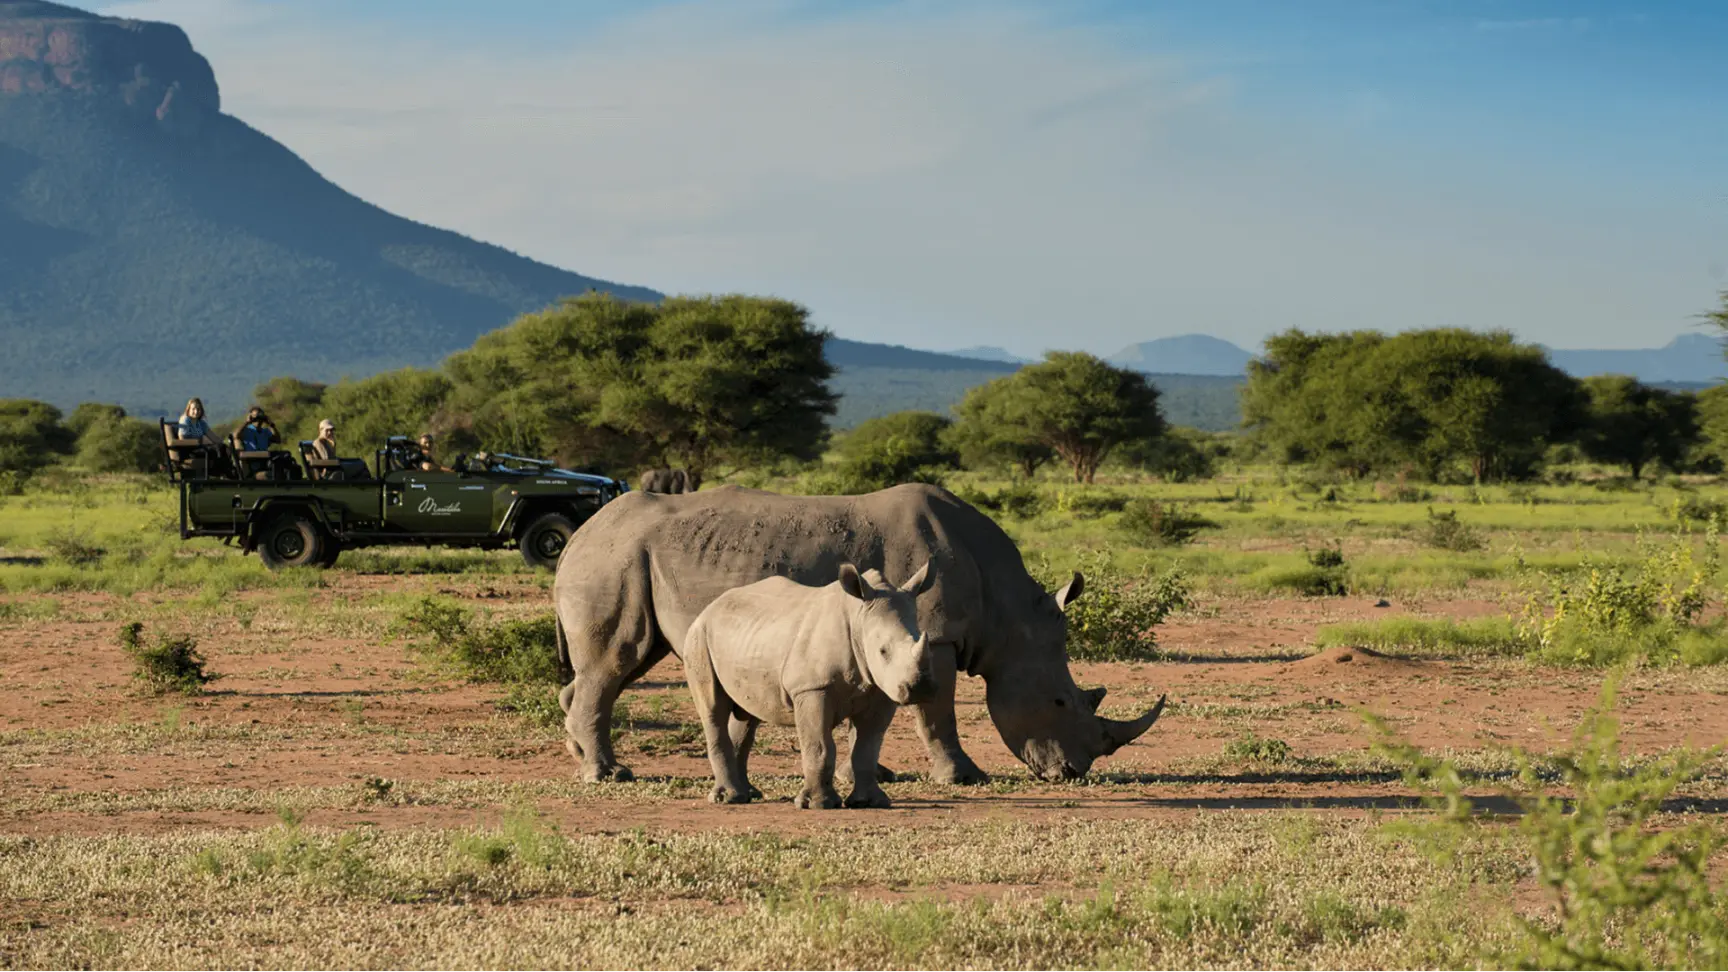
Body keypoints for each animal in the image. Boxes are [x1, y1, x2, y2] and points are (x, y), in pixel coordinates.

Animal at [553, 483, 1166, 784]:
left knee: (619, 664)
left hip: (623, 558)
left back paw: (583, 758)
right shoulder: (935, 637)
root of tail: (579, 533)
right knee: (614, 662)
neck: (1008, 614)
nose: (1074, 773)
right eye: (1060, 701)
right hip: (612, 560)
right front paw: (964, 778)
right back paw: (609, 776)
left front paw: (869, 772)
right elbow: (936, 713)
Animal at [685, 561, 937, 809]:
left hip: (746, 638)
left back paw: (748, 794)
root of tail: (710, 607)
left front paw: (870, 802)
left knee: (747, 715)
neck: (858, 618)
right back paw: (727, 798)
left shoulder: (881, 690)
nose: (920, 688)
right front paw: (817, 804)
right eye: (883, 651)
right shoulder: (812, 687)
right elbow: (820, 746)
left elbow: (868, 747)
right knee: (713, 709)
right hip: (699, 636)